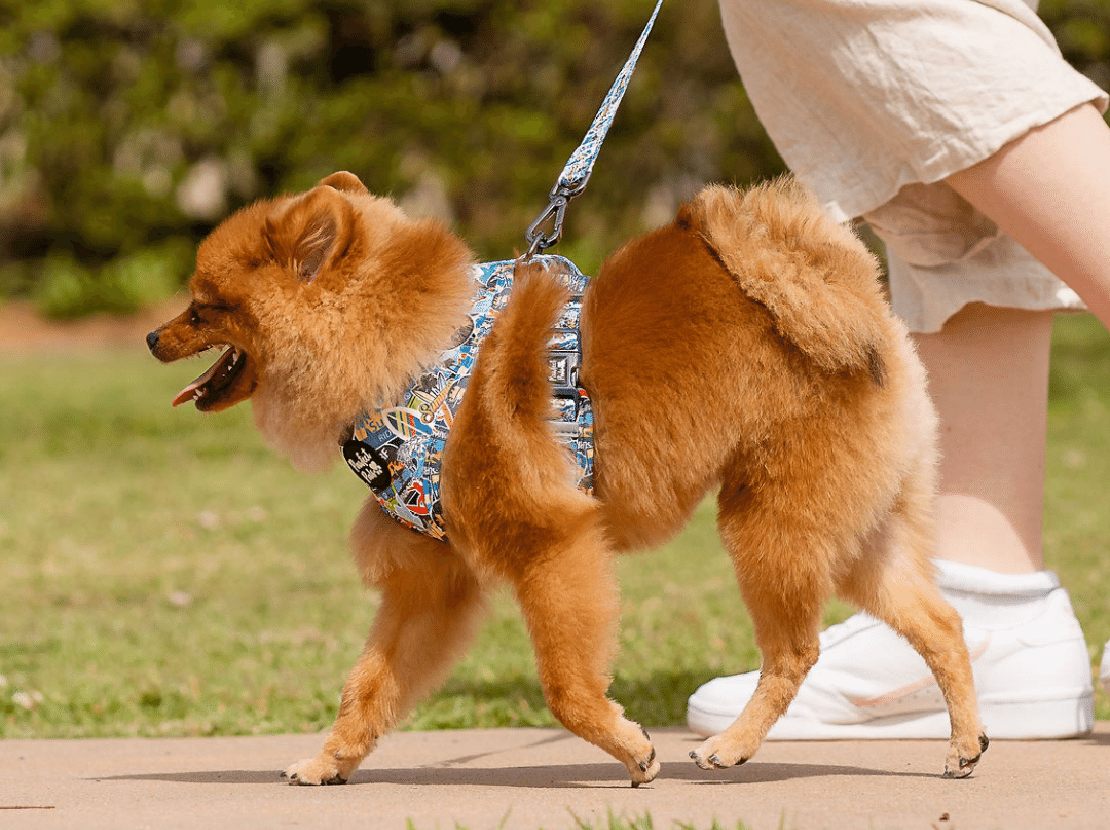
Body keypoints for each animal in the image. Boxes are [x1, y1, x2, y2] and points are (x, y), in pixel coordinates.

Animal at [147, 169, 990, 785]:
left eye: (204, 305)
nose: (153, 336)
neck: (412, 358)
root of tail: (845, 288)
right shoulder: (430, 580)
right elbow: (369, 685)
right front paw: (330, 759)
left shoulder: (550, 546)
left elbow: (565, 686)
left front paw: (630, 747)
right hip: (854, 530)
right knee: (940, 622)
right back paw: (964, 743)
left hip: (770, 525)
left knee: (796, 652)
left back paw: (732, 746)